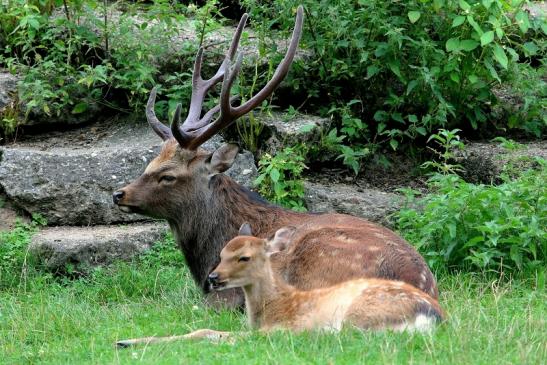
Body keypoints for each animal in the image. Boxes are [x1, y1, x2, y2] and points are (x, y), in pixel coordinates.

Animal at [113, 7, 438, 306]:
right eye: (149, 164)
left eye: (167, 176)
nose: (119, 194)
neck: (207, 256)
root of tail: (421, 283)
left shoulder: (222, 297)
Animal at [116, 223, 446, 346]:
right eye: (221, 254)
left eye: (244, 257)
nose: (213, 278)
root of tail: (435, 316)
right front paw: (126, 341)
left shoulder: (274, 330)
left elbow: (213, 333)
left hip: (359, 314)